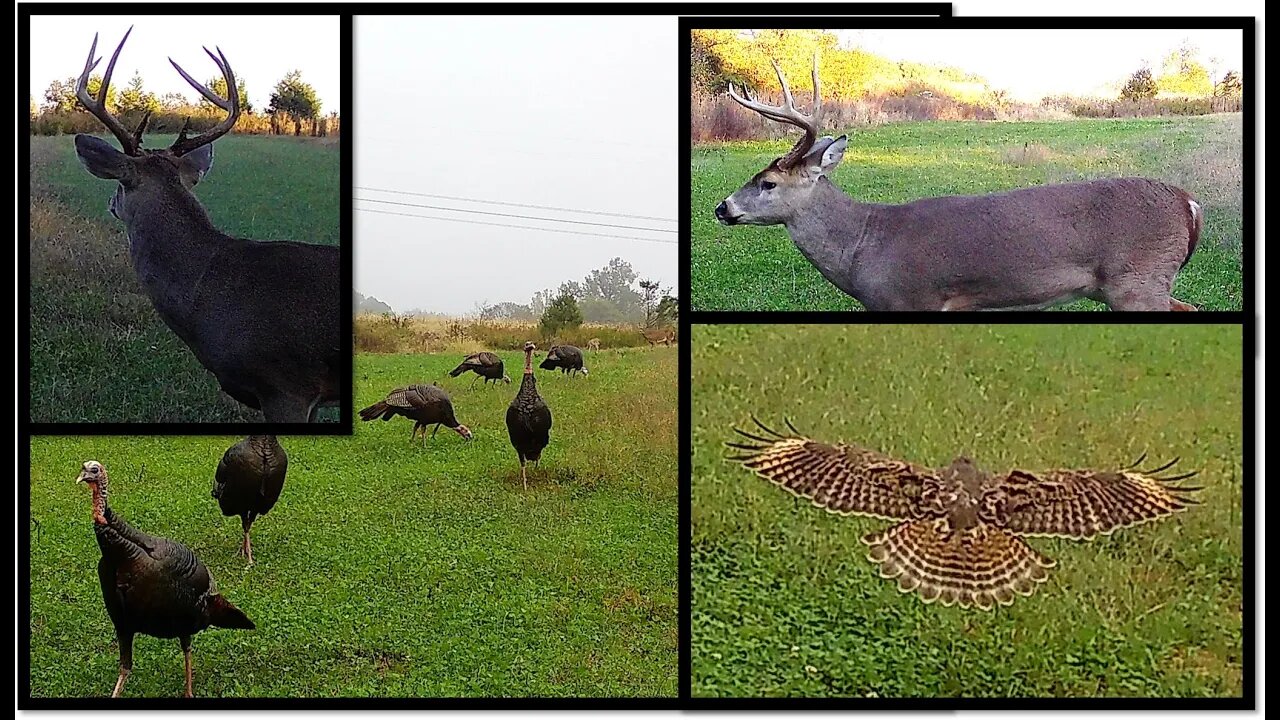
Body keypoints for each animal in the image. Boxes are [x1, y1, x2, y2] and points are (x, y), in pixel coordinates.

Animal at [716, 54, 1203, 310]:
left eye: (767, 183)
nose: (722, 207)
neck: (864, 245)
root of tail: (1189, 203)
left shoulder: (915, 298)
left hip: (1137, 280)